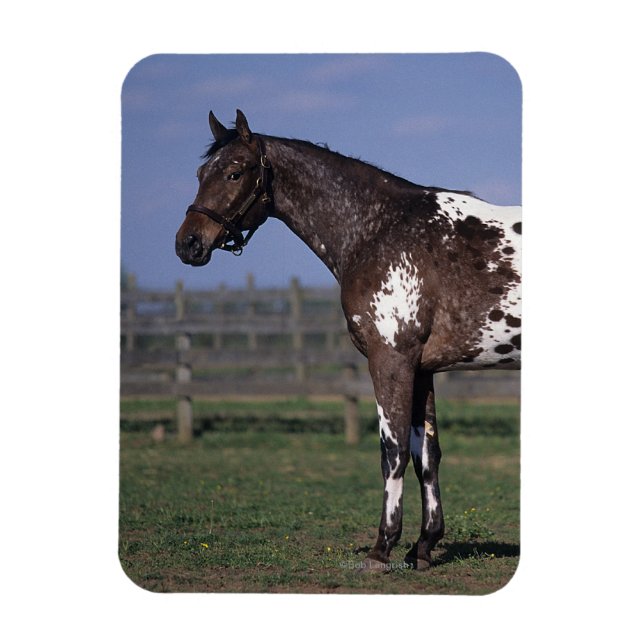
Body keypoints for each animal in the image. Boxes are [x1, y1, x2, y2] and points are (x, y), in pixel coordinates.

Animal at [175, 109, 521, 572]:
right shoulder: (421, 369)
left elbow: (392, 452)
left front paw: (382, 549)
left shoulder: (390, 360)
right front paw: (423, 546)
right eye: (201, 173)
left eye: (234, 172)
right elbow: (426, 455)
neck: (379, 230)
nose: (187, 243)